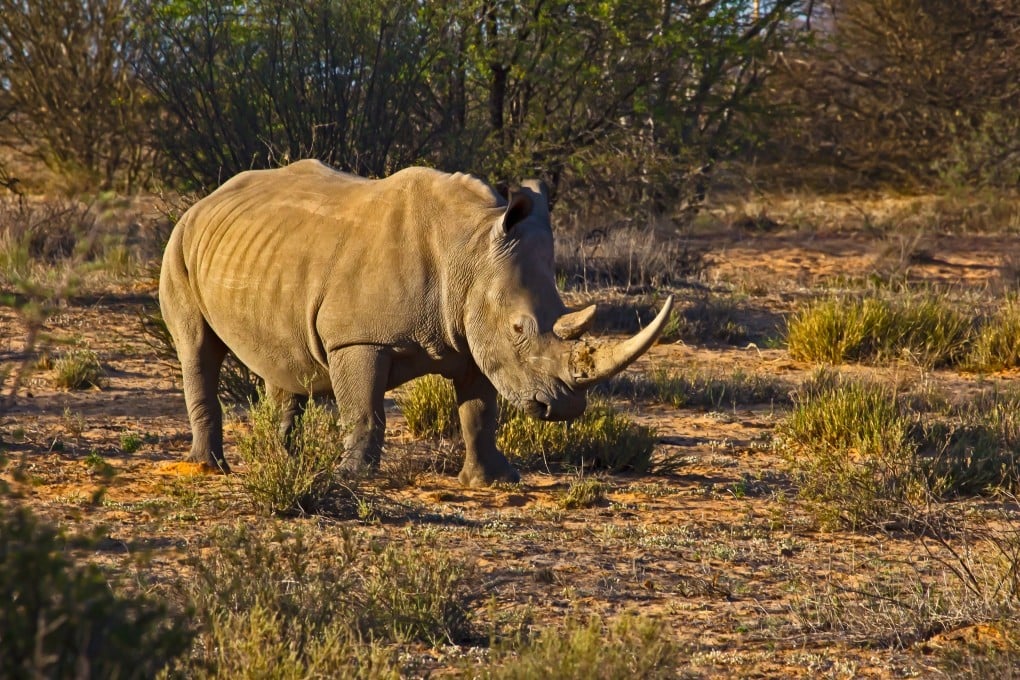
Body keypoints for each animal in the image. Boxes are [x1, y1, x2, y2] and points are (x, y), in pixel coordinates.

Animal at [159, 160, 673, 486]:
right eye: (519, 329)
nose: (564, 409)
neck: (469, 251)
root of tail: (206, 200)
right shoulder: (357, 339)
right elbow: (364, 411)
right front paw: (352, 478)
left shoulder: (472, 336)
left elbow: (479, 414)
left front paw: (494, 481)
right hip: (178, 245)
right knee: (197, 349)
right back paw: (209, 469)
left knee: (284, 366)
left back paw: (283, 461)